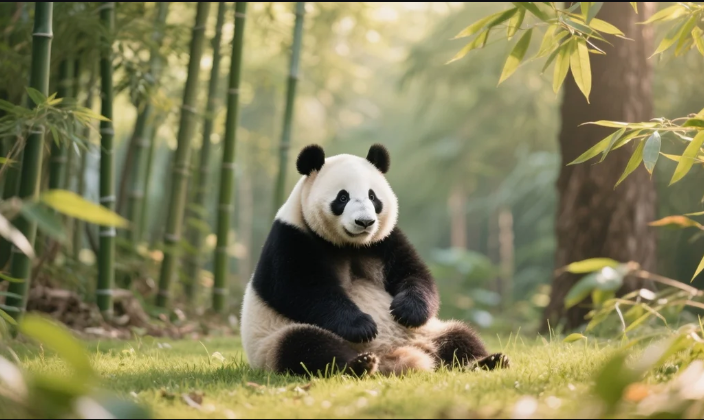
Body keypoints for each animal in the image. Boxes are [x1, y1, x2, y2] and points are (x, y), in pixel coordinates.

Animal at [240, 143, 509, 376]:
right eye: (342, 197)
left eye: (372, 196)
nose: (365, 222)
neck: (347, 245)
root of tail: (395, 357)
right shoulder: (291, 236)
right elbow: (300, 289)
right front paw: (362, 326)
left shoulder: (383, 241)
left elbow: (413, 273)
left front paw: (408, 311)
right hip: (274, 338)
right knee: (307, 348)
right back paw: (358, 365)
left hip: (430, 331)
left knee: (460, 337)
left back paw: (489, 361)